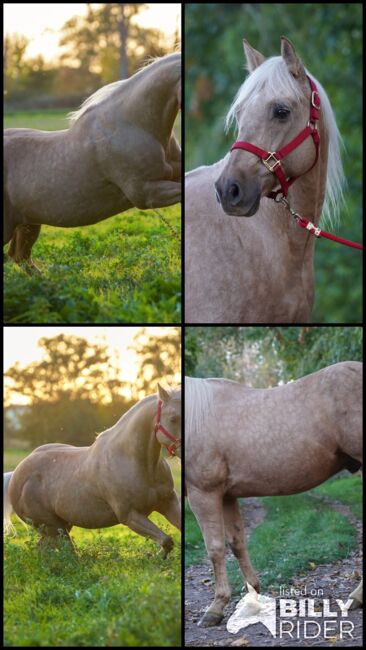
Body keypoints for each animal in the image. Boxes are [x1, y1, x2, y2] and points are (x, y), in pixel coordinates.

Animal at [4, 382, 182, 556]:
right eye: (173, 418)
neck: (138, 463)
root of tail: (15, 474)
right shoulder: (130, 516)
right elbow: (167, 541)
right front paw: (153, 555)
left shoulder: (169, 502)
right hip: (53, 528)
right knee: (67, 553)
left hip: (61, 526)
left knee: (43, 549)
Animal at [186, 360, 364, 624]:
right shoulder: (227, 496)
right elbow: (237, 543)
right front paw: (252, 599)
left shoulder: (203, 494)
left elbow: (215, 548)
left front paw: (215, 608)